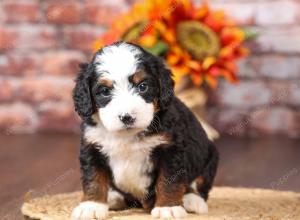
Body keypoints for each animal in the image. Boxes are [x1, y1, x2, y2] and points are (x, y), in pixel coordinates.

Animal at [72, 41, 219, 220]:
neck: (127, 136)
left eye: (143, 86)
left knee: (199, 184)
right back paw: (114, 197)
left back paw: (193, 200)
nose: (127, 117)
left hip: (210, 156)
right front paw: (91, 206)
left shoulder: (171, 149)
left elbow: (169, 180)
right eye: (105, 91)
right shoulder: (92, 146)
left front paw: (168, 208)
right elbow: (93, 178)